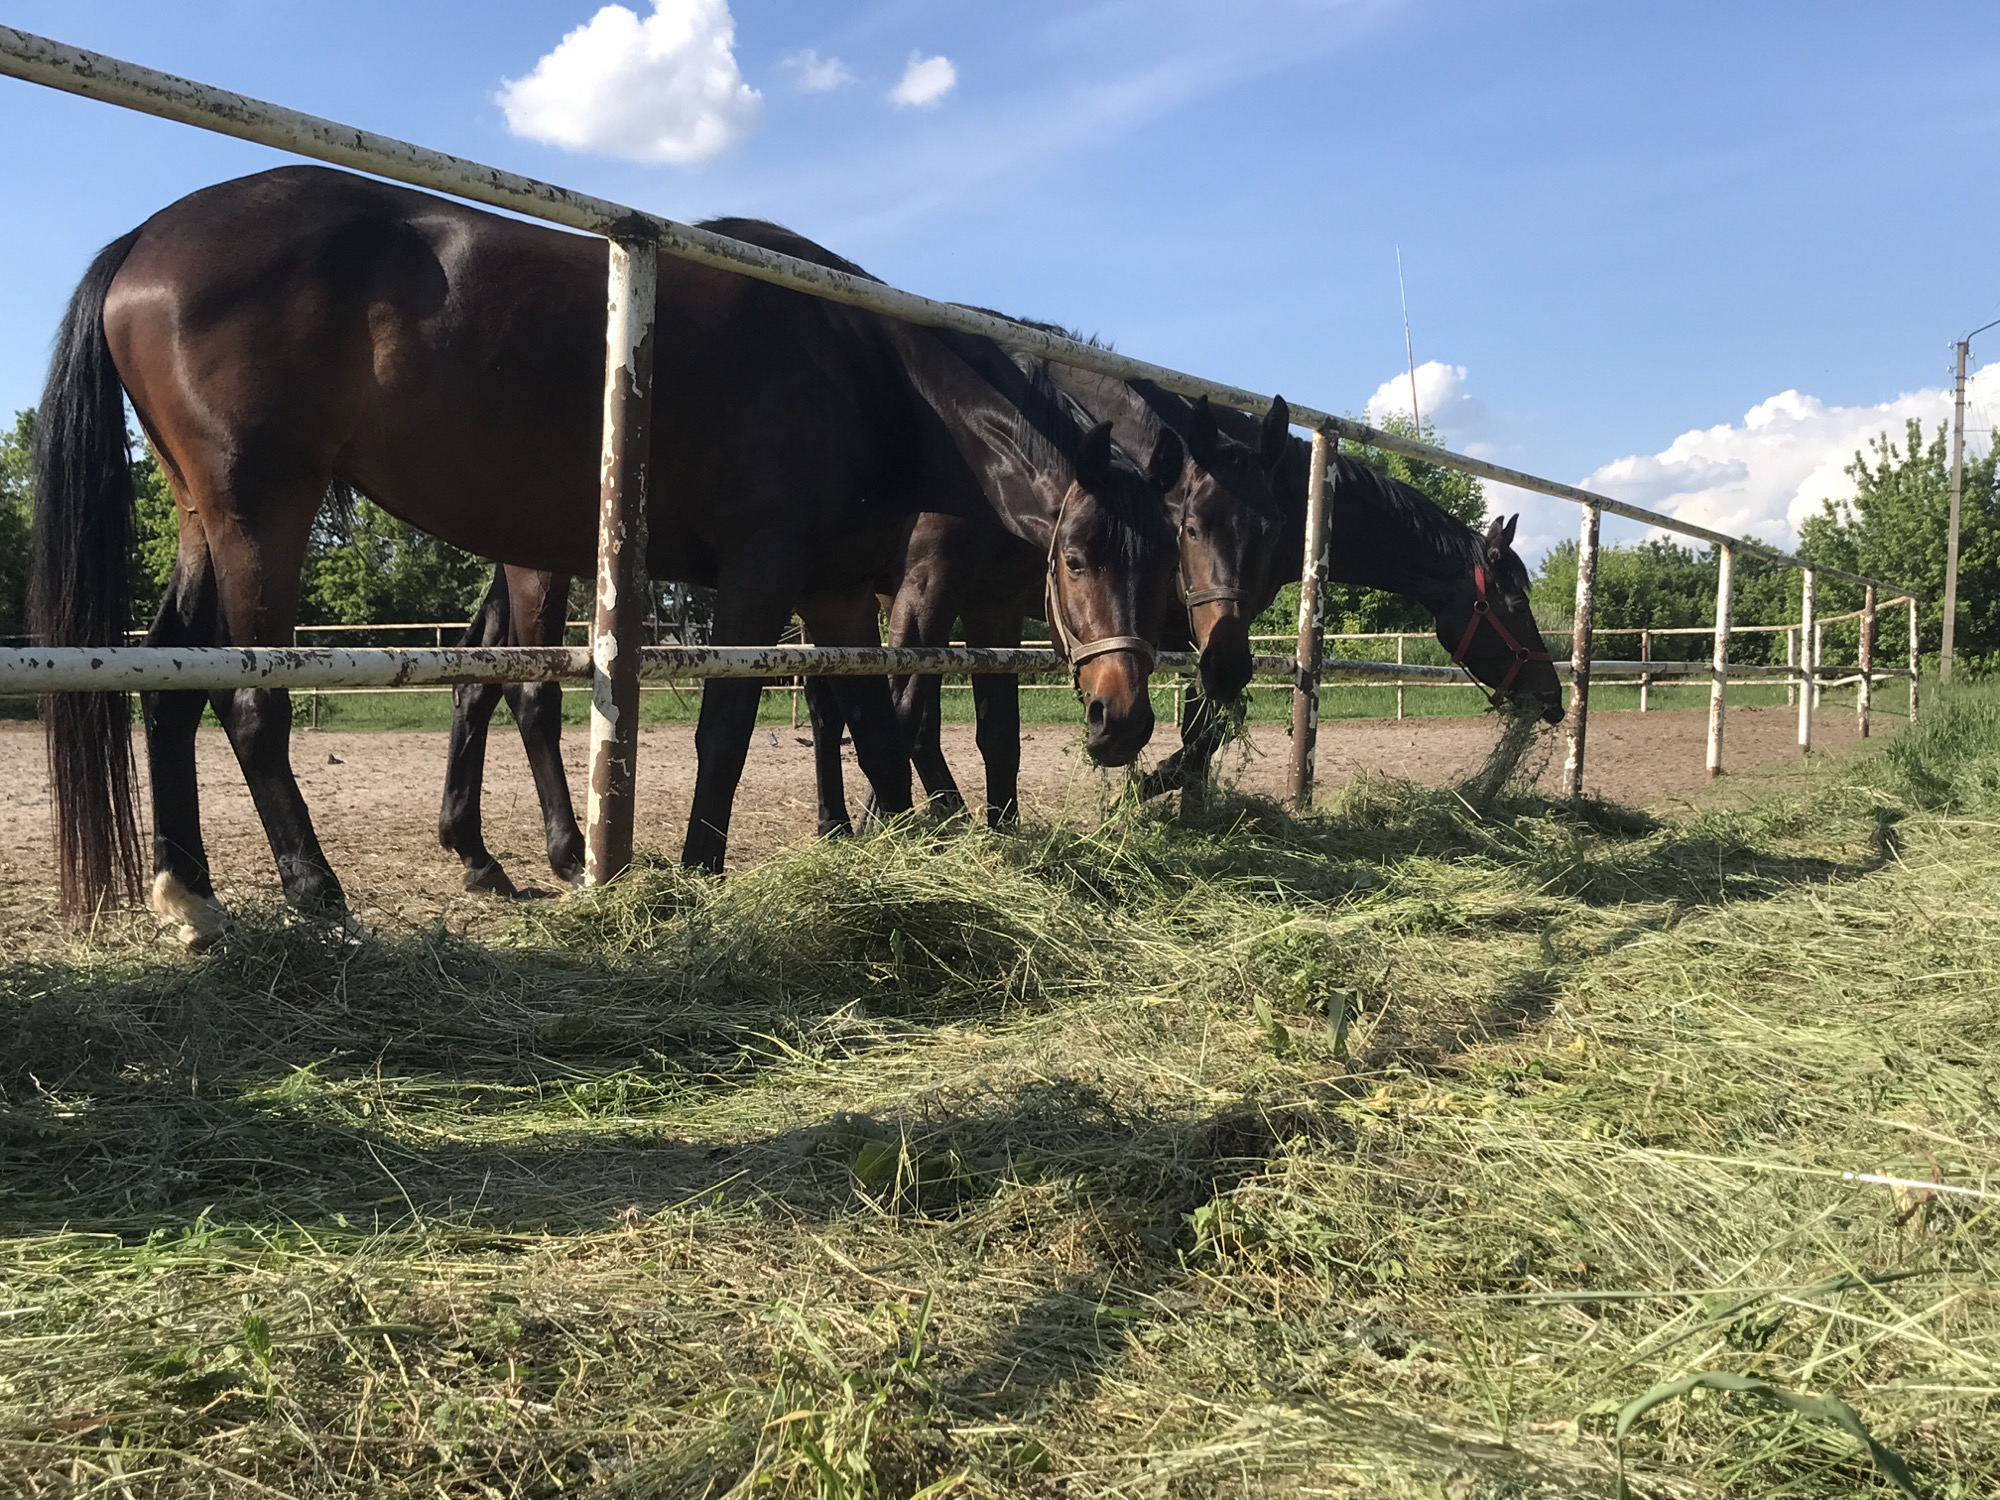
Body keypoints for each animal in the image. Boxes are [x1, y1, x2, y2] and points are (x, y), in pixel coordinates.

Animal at [28, 165, 1179, 931]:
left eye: (1161, 560)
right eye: (1076, 559)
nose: (1123, 720)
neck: (860, 364)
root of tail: (146, 238)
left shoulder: (838, 588)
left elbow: (869, 720)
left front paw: (897, 846)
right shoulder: (765, 573)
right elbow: (733, 729)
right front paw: (702, 869)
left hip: (201, 520)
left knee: (170, 686)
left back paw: (193, 896)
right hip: (261, 515)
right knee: (251, 701)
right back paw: (319, 895)